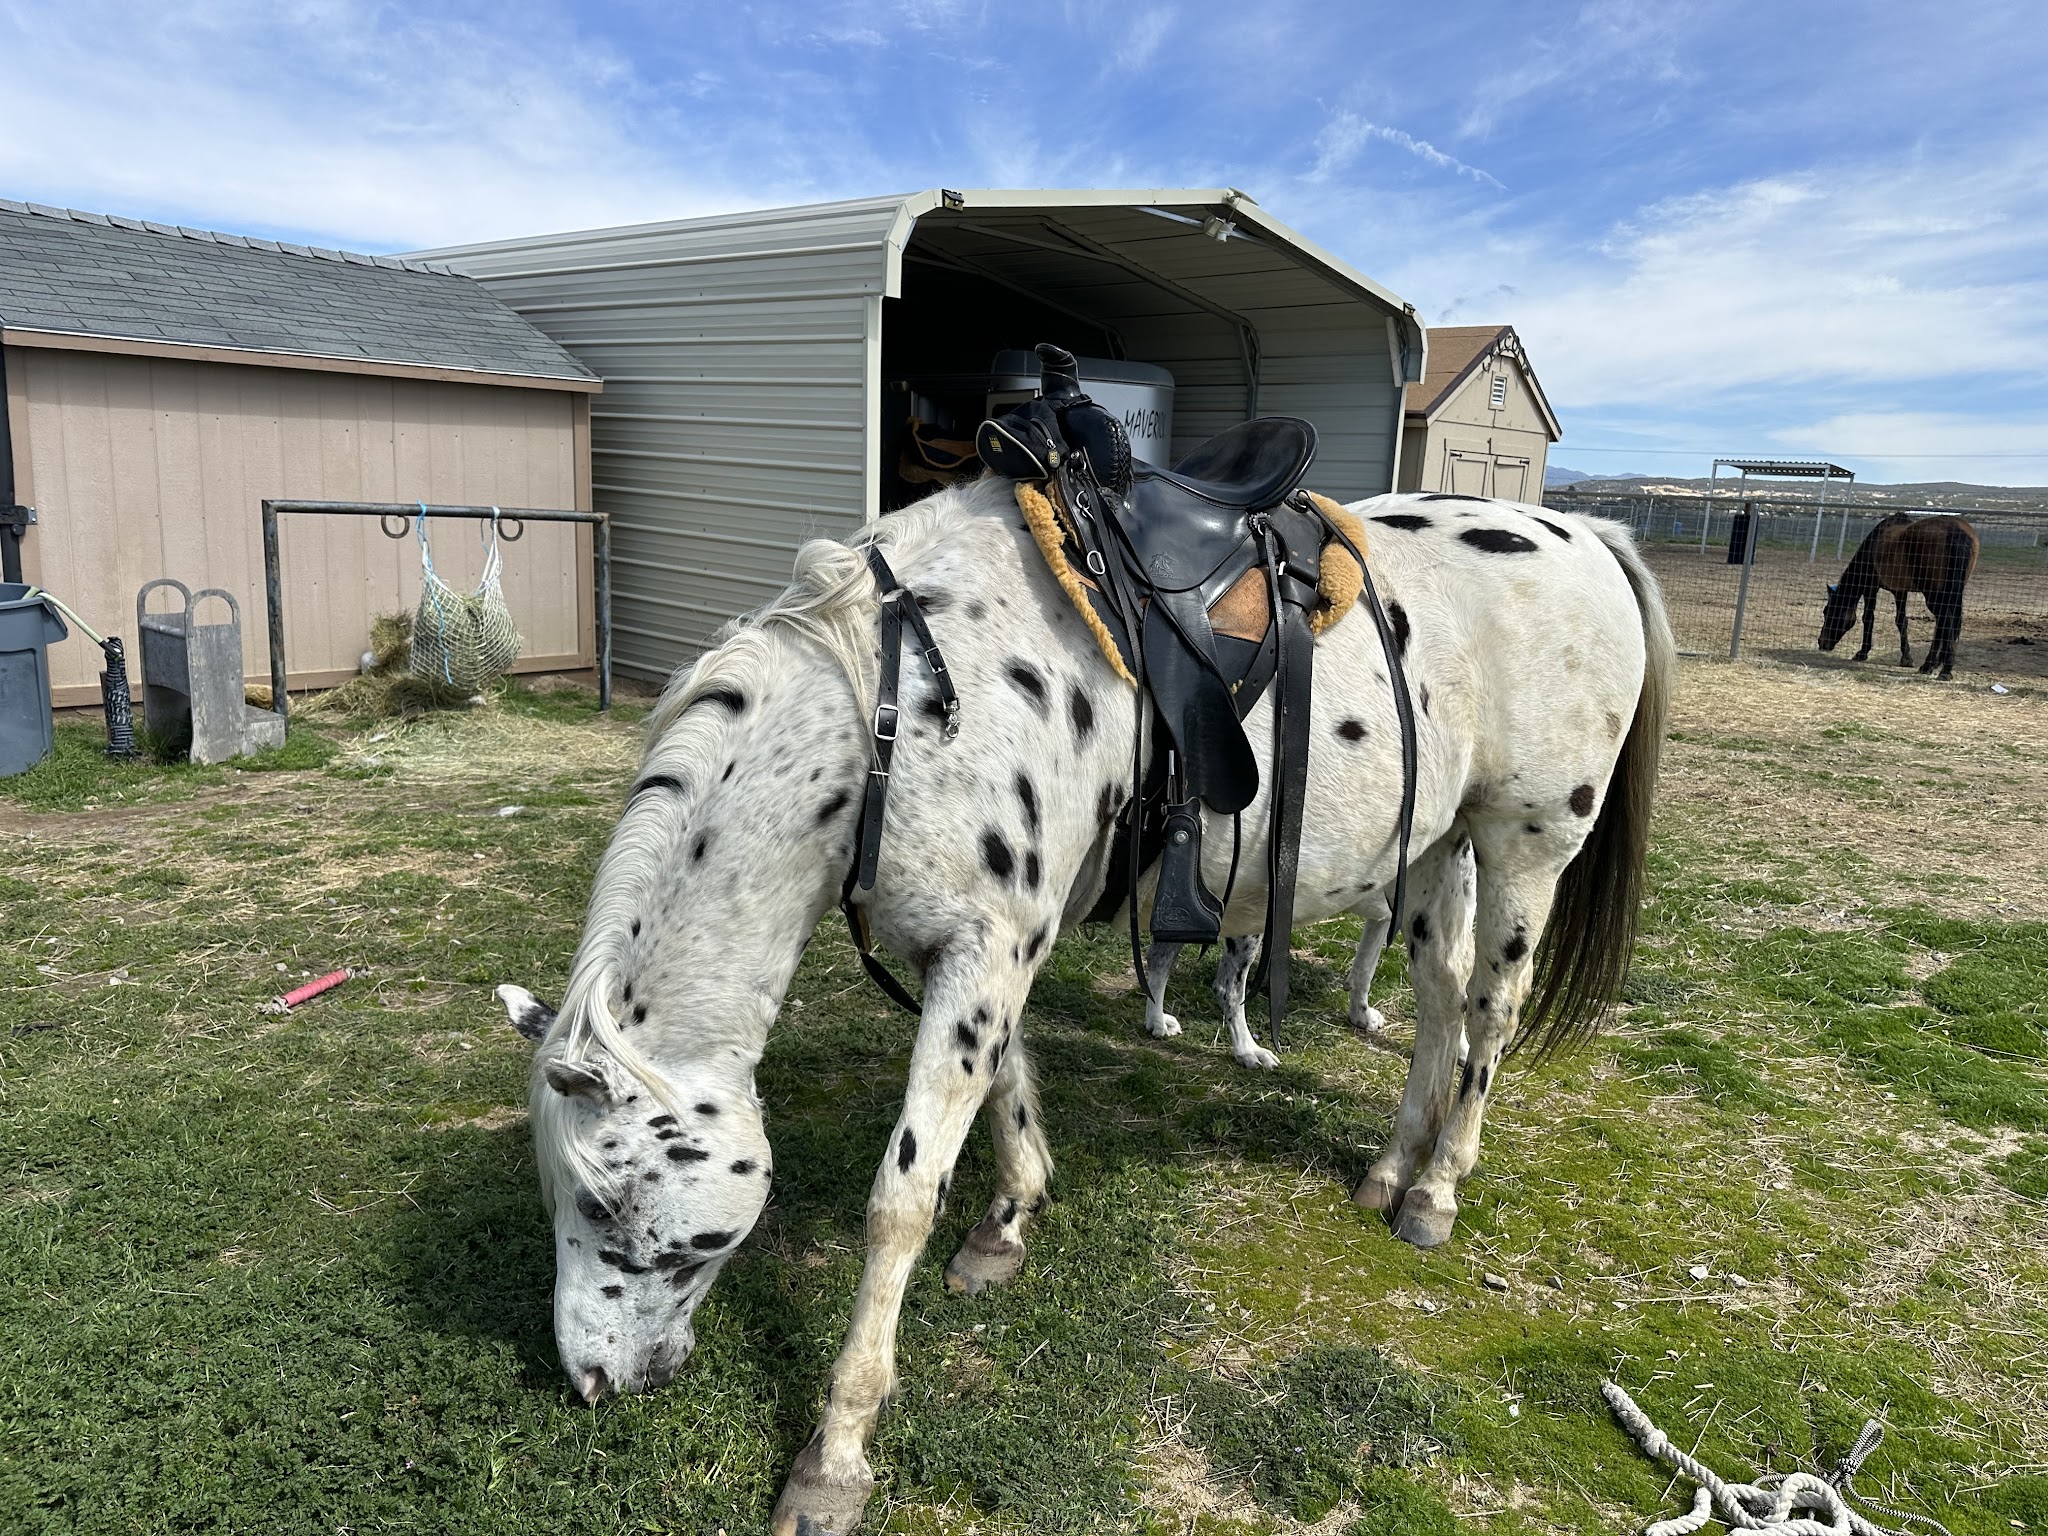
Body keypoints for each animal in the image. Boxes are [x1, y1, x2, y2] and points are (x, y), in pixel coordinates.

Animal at [495, 477, 1675, 1534]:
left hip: (1524, 845)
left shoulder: (988, 945)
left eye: (604, 1202)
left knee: (1488, 1013)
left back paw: (1434, 1190)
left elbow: (900, 1201)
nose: (591, 1382)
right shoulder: (984, 947)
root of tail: (1586, 532)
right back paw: (1388, 1170)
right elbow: (1006, 1089)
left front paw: (835, 1457)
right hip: (1431, 842)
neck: (894, 711)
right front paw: (1008, 1223)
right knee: (1434, 1002)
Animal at [1818, 512, 1979, 680]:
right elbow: (1901, 621)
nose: (1821, 643)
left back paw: (1943, 669)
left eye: (1827, 611)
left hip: (1934, 595)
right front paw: (1906, 658)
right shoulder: (1900, 591)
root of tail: (1957, 533)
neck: (1871, 547)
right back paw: (1931, 665)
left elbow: (1868, 618)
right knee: (1944, 624)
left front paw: (1862, 653)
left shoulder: (1870, 587)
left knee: (1944, 621)